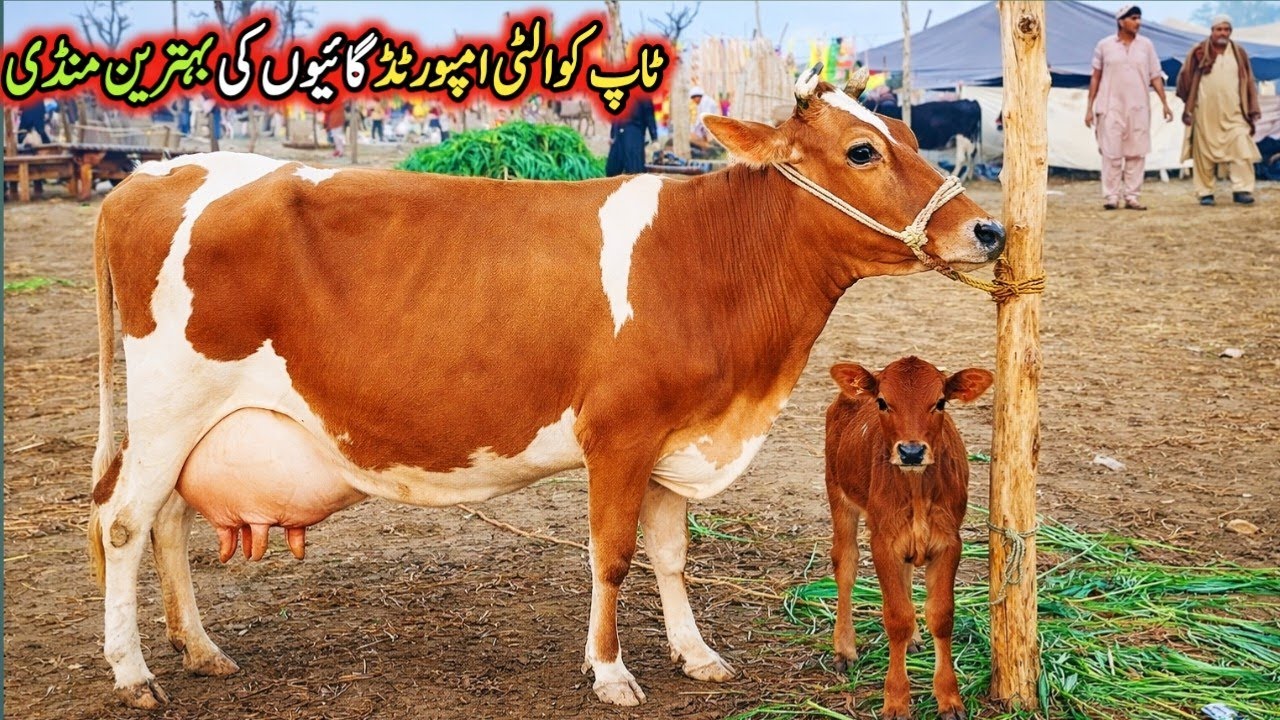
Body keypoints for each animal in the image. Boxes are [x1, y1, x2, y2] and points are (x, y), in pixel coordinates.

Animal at [823, 357, 994, 720]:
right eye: (883, 402)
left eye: (940, 402)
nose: (912, 451)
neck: (916, 492)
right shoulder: (882, 543)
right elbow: (896, 617)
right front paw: (897, 701)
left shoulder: (949, 543)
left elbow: (941, 615)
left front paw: (949, 699)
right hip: (838, 493)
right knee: (845, 564)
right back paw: (844, 648)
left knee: (905, 577)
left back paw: (914, 638)